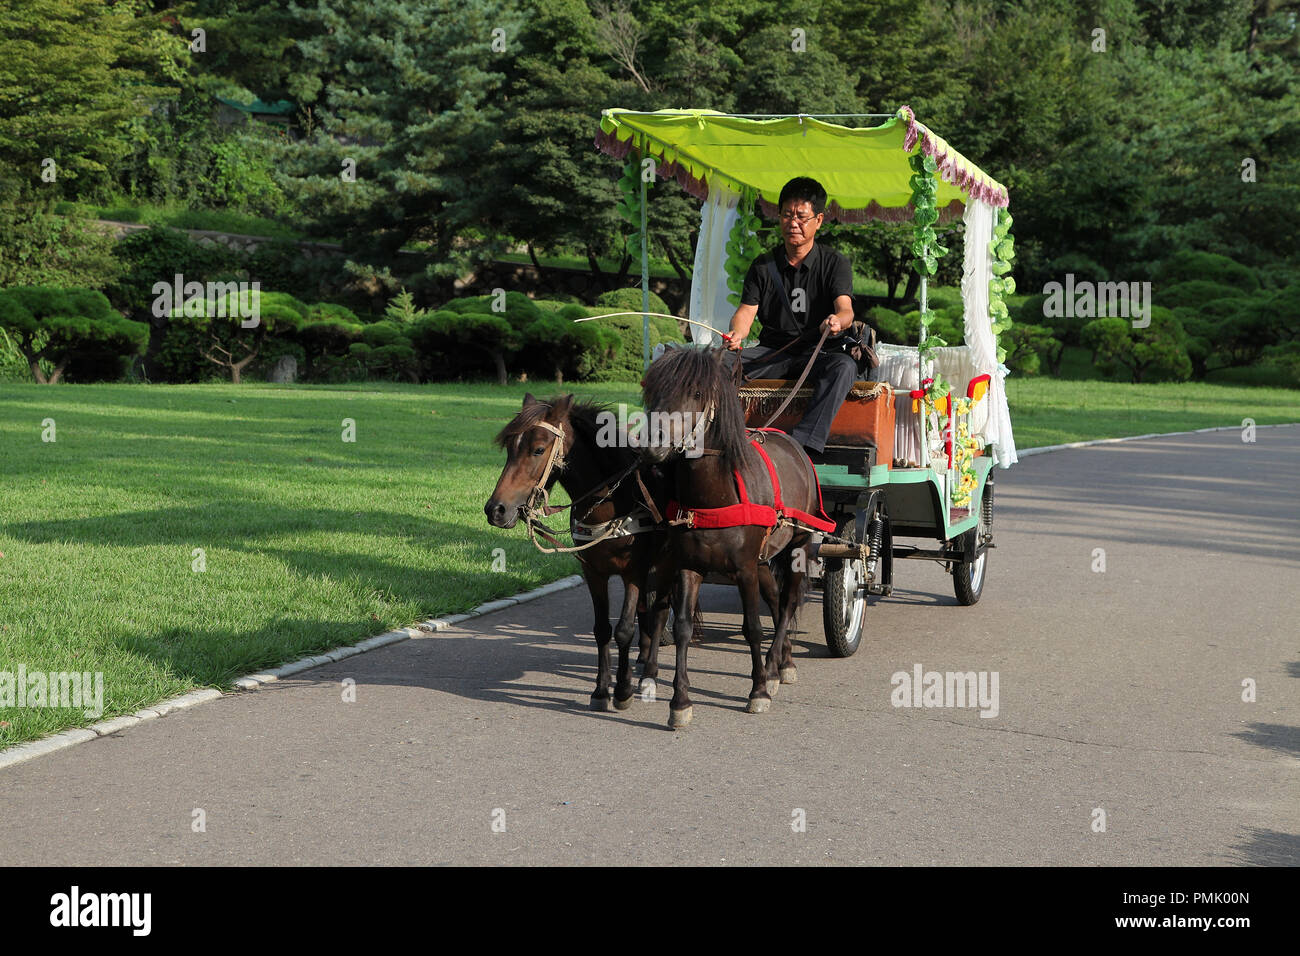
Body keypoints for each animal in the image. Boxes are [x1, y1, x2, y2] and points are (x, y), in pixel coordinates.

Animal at [483, 392, 676, 712]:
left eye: (538, 449)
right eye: (510, 447)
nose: (496, 509)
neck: (611, 502)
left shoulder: (633, 572)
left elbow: (624, 629)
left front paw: (622, 690)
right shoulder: (593, 572)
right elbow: (602, 629)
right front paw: (600, 690)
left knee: (659, 613)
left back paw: (650, 672)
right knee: (647, 613)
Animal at [634, 348, 816, 728]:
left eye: (696, 393)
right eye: (652, 389)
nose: (653, 447)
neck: (716, 496)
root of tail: (792, 441)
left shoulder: (744, 569)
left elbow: (753, 628)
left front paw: (758, 690)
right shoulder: (689, 566)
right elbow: (683, 627)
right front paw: (680, 702)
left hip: (797, 547)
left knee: (788, 602)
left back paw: (775, 667)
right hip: (761, 559)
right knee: (775, 598)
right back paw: (784, 660)